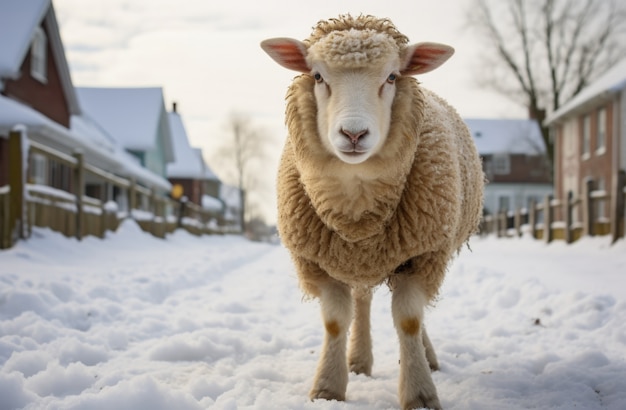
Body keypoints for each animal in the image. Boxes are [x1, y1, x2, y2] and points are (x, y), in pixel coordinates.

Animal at [258, 14, 482, 410]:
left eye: (392, 77)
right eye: (318, 76)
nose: (353, 134)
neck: (357, 206)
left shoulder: (424, 253)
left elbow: (409, 320)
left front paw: (420, 393)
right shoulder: (317, 261)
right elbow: (335, 321)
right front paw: (328, 388)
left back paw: (427, 358)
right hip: (355, 261)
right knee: (361, 302)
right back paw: (358, 360)